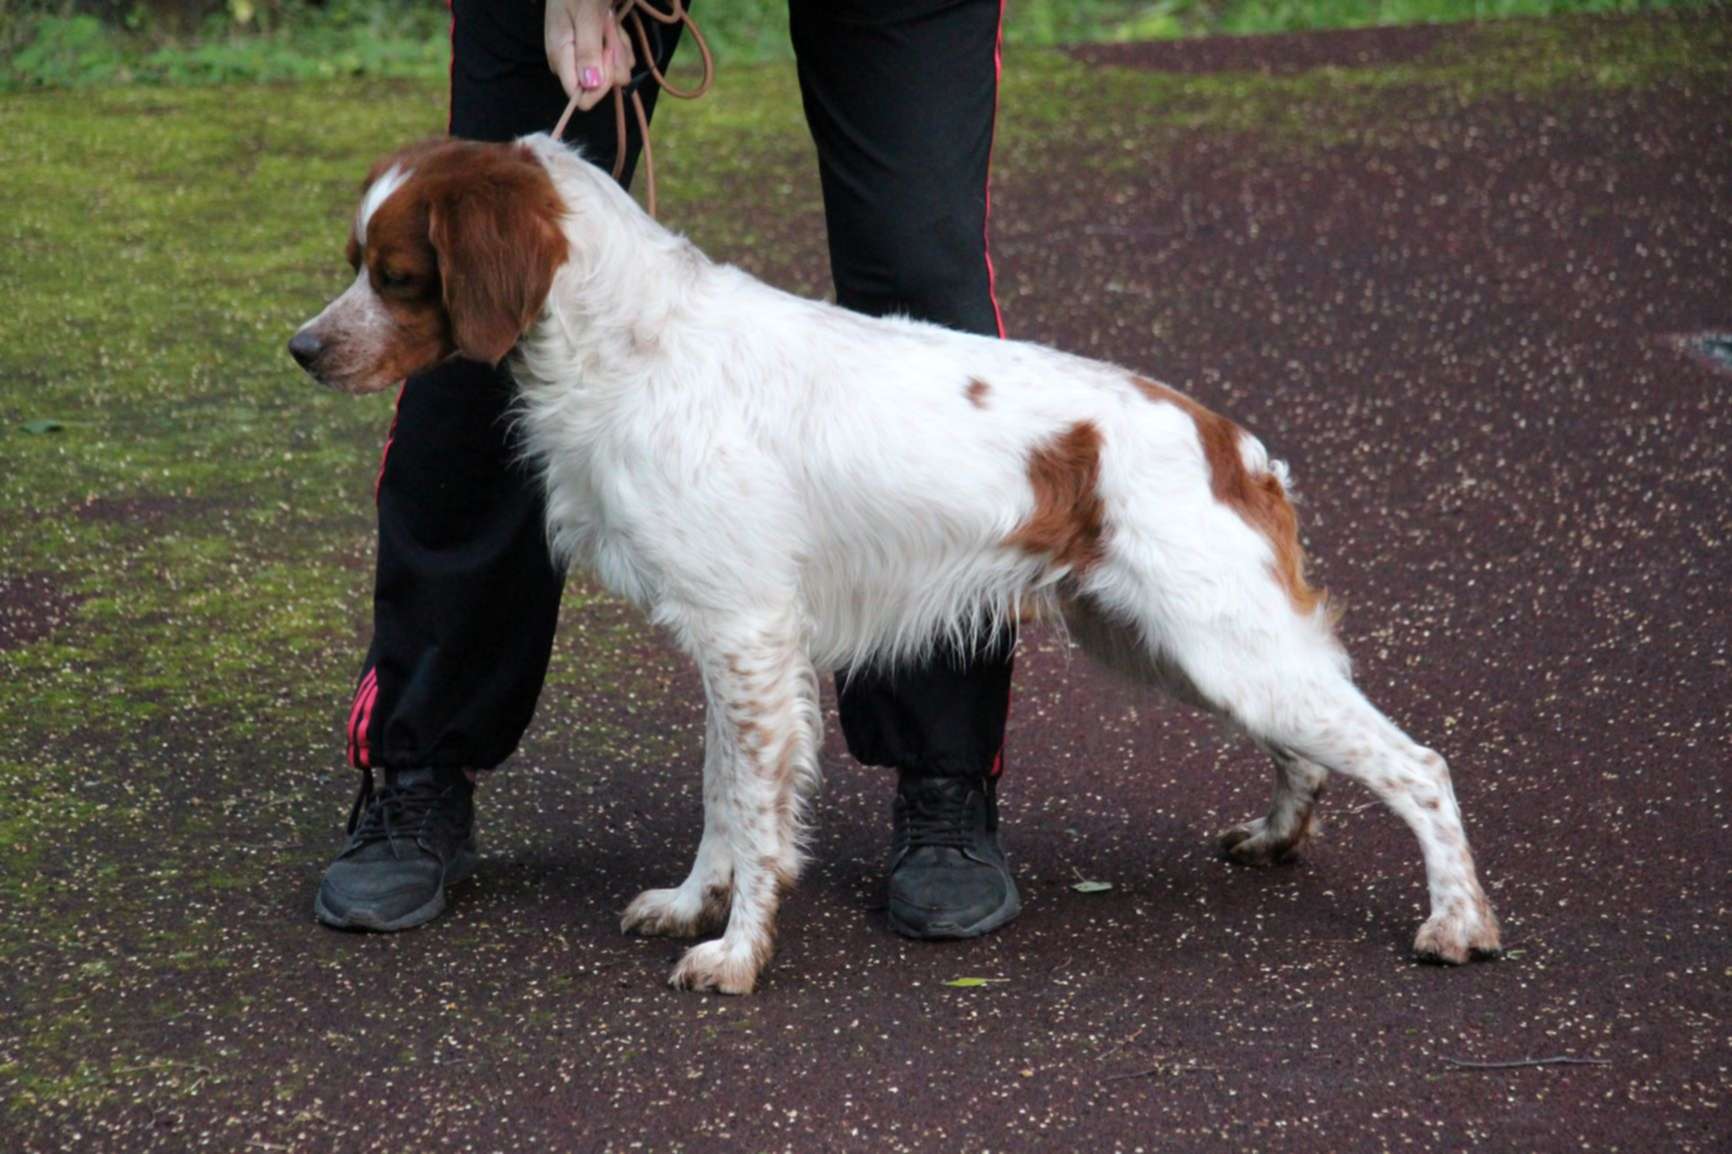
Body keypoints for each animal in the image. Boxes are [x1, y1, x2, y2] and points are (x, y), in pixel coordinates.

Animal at [287, 135, 1503, 991]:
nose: (301, 347)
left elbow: (757, 812)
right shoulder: (731, 638)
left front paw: (737, 953)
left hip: (1221, 644)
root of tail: (1234, 443)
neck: (635, 346)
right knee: (1311, 750)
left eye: (397, 274)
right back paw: (1276, 836)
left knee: (1418, 764)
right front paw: (694, 902)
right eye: (357, 267)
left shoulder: (749, 637)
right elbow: (723, 796)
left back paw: (1457, 922)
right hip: (1180, 645)